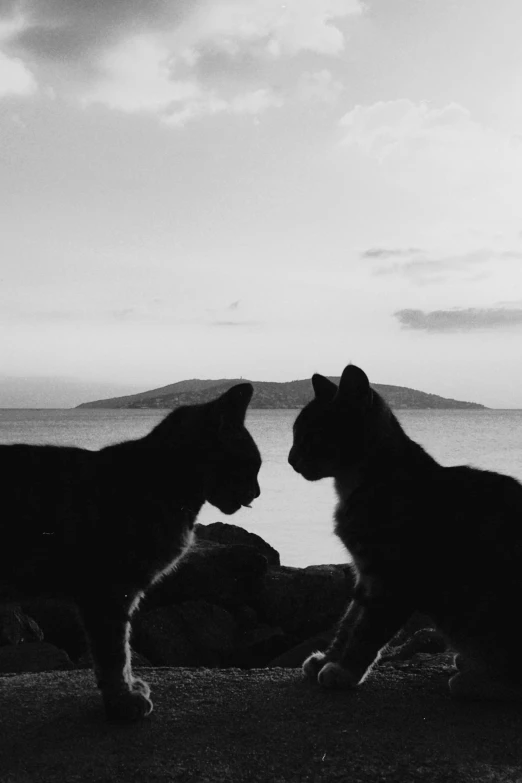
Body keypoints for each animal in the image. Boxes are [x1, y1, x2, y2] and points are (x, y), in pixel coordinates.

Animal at [0, 382, 260, 720]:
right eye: (251, 465)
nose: (257, 492)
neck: (163, 483)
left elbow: (119, 648)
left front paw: (126, 690)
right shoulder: (108, 590)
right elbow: (115, 652)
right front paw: (122, 700)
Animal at [288, 364, 522, 700]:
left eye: (313, 435)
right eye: (295, 435)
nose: (291, 459)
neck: (360, 483)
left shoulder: (396, 580)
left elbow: (368, 631)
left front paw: (345, 670)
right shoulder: (366, 575)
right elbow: (348, 623)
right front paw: (329, 658)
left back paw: (474, 681)